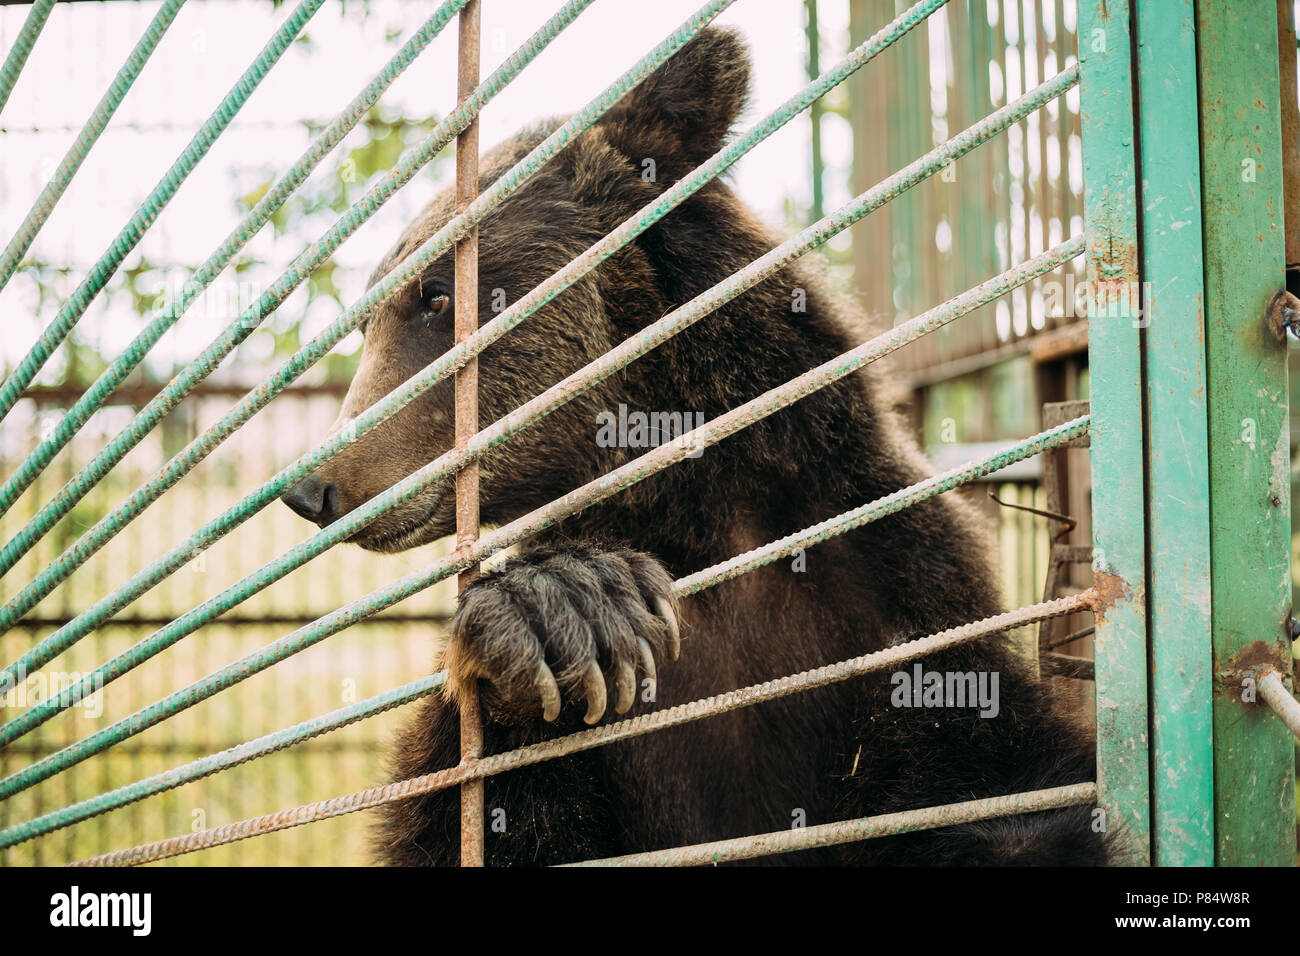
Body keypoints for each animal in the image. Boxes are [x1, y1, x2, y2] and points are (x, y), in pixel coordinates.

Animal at [282, 27, 1107, 868]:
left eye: (437, 297)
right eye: (368, 320)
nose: (312, 488)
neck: (697, 508)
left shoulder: (901, 591)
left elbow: (1004, 785)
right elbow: (486, 818)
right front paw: (561, 609)